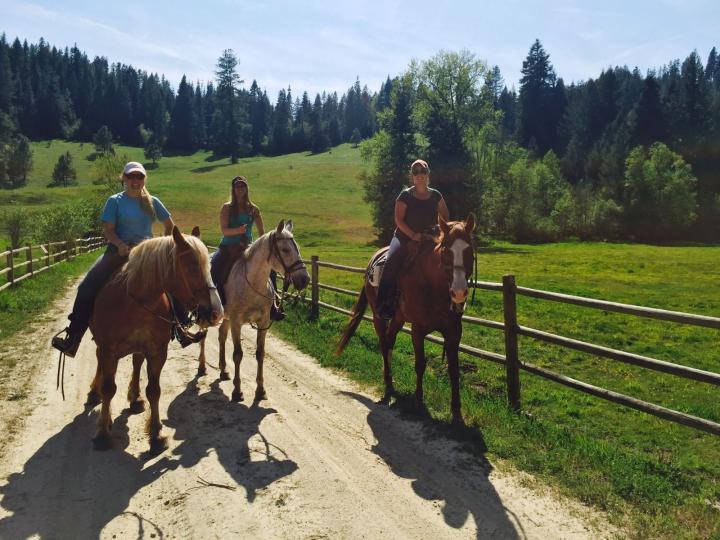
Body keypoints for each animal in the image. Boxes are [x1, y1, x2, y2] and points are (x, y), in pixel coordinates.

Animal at [88, 226, 223, 454]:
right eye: (193, 268)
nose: (216, 313)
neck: (135, 302)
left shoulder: (157, 352)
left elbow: (154, 391)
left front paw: (156, 434)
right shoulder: (108, 351)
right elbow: (108, 388)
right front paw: (103, 432)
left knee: (136, 364)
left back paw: (135, 397)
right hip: (102, 349)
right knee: (100, 365)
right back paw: (93, 392)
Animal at [197, 219, 310, 403]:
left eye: (297, 248)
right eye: (285, 250)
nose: (304, 279)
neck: (252, 283)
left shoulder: (263, 322)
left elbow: (260, 353)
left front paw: (260, 390)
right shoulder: (236, 322)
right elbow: (238, 354)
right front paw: (237, 391)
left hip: (226, 318)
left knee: (221, 336)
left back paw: (223, 369)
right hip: (208, 316)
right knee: (203, 335)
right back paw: (201, 366)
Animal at [336, 214, 475, 425]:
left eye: (470, 250)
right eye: (445, 250)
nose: (459, 293)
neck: (433, 284)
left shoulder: (454, 331)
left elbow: (454, 370)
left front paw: (457, 413)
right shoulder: (418, 329)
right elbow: (420, 364)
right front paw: (418, 401)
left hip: (398, 318)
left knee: (390, 340)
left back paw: (390, 380)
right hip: (378, 316)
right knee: (384, 344)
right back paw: (387, 384)